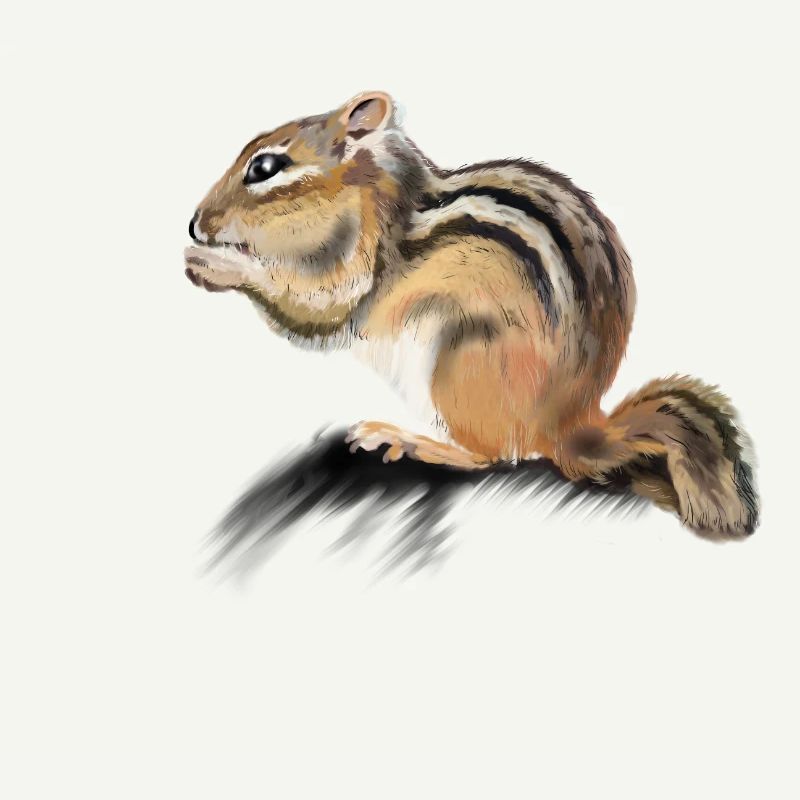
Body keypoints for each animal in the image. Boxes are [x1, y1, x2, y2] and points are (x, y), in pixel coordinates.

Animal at [185, 90, 759, 537]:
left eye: (264, 167)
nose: (195, 223)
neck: (369, 189)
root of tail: (571, 425)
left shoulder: (360, 258)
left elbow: (318, 307)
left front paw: (216, 265)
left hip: (459, 358)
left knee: (494, 455)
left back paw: (409, 441)